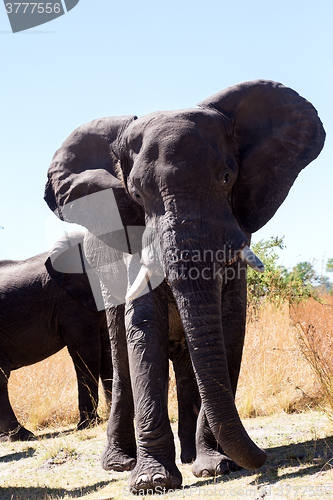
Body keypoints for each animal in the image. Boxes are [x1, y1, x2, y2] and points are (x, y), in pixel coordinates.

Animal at [42, 80, 322, 490]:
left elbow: (229, 325)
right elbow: (142, 329)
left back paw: (191, 457)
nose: (262, 459)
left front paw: (216, 467)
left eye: (226, 177)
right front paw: (151, 482)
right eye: (136, 195)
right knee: (121, 353)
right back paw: (120, 464)